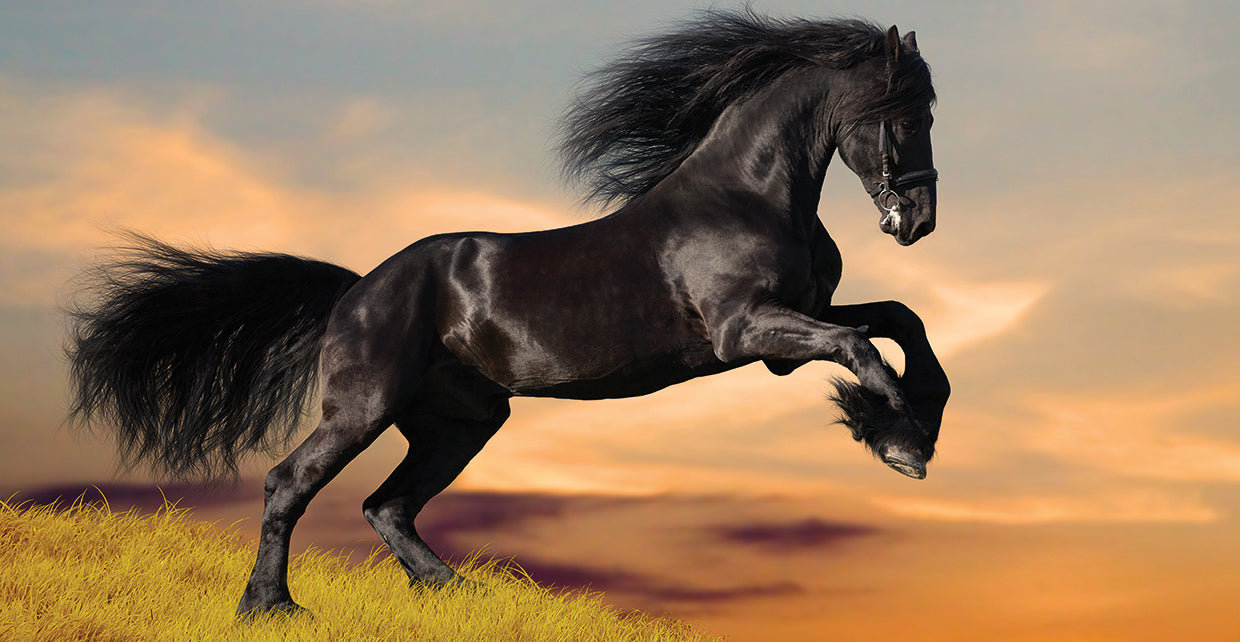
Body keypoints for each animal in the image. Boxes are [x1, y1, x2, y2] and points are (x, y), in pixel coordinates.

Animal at [65, 10, 948, 618]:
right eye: (908, 115)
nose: (918, 221)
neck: (746, 195)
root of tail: (354, 291)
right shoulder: (747, 332)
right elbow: (862, 347)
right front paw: (900, 443)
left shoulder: (790, 329)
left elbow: (900, 321)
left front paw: (915, 425)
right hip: (364, 406)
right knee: (291, 484)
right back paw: (271, 607)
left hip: (461, 421)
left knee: (387, 506)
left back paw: (460, 595)